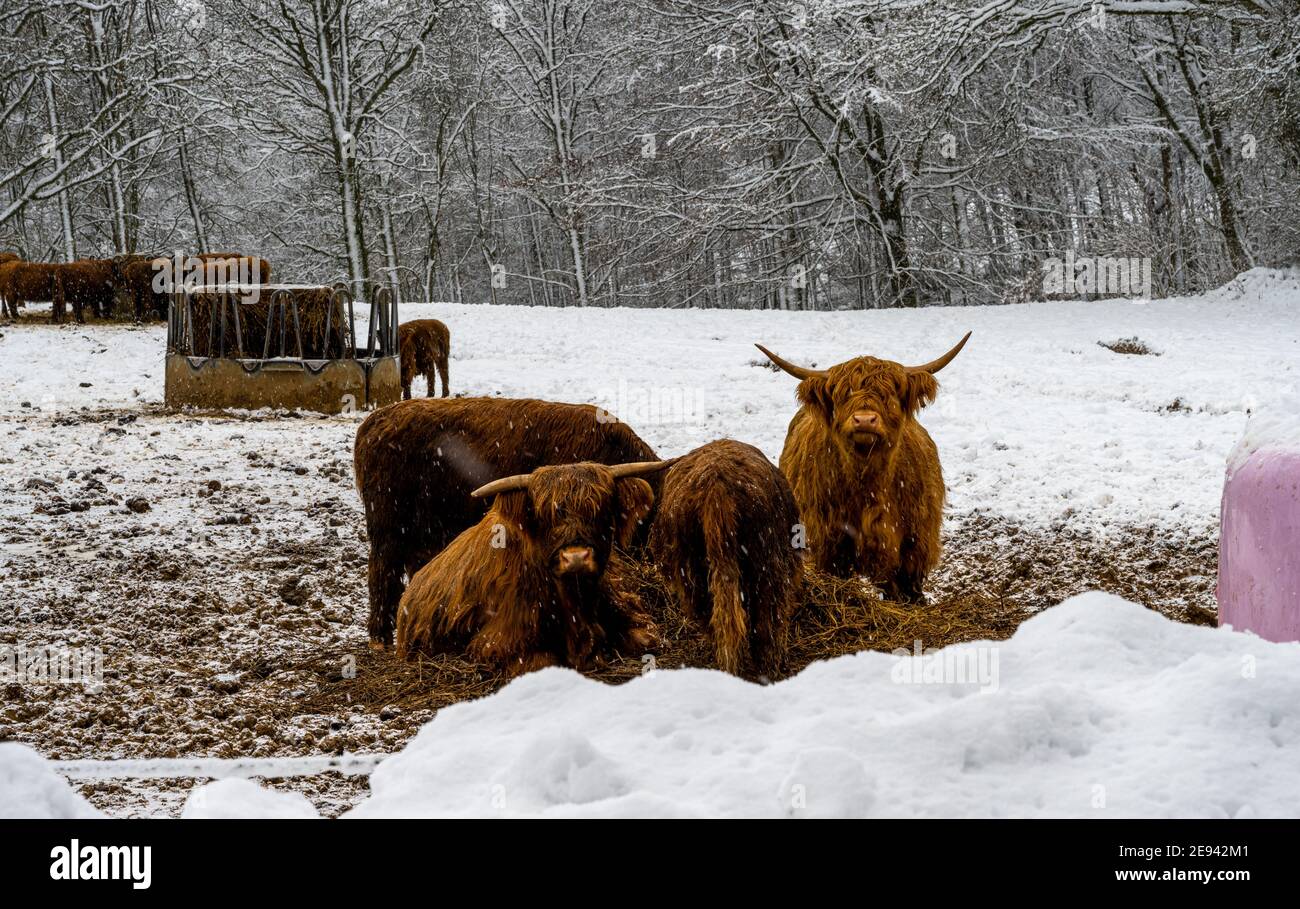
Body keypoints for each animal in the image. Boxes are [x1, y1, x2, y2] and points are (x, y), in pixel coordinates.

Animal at [392, 462, 670, 676]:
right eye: (543, 516)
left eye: (600, 509)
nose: (576, 558)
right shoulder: (495, 642)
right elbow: (545, 661)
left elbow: (646, 638)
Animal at [650, 436, 800, 681]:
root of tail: (716, 488)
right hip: (766, 563)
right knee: (766, 618)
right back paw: (769, 668)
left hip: (691, 569)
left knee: (713, 615)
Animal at [759, 335, 972, 603]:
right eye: (843, 395)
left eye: (888, 394)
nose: (864, 420)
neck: (867, 482)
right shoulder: (830, 543)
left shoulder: (915, 540)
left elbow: (905, 585)